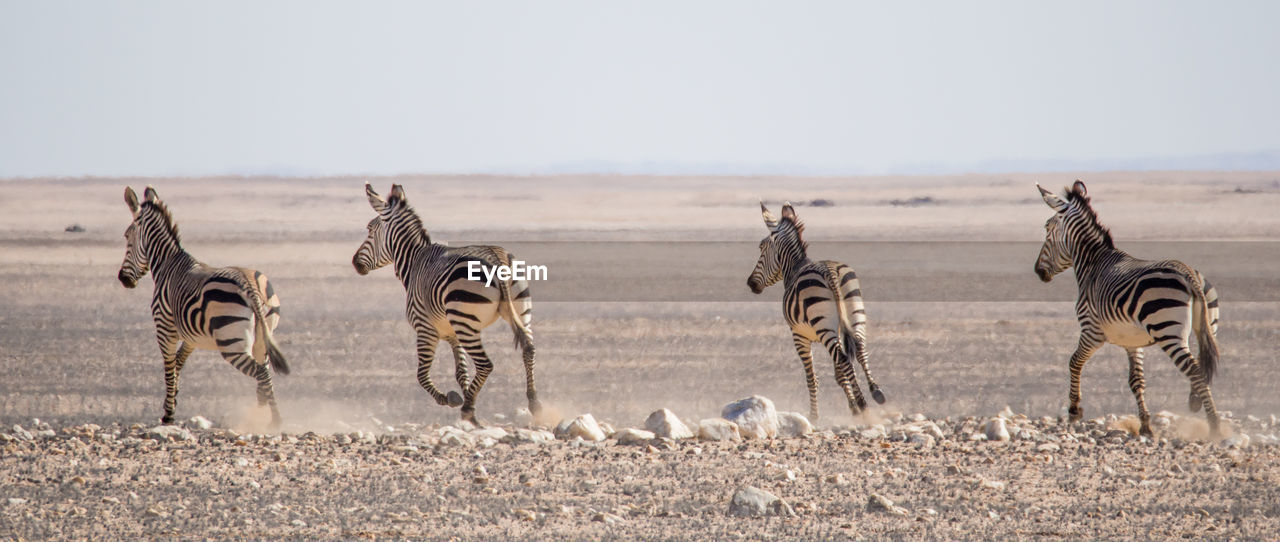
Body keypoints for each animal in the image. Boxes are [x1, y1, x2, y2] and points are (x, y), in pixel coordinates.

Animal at [117, 187, 290, 427]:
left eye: (127, 236)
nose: (123, 279)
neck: (167, 264)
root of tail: (249, 285)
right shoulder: (191, 338)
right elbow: (179, 364)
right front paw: (173, 400)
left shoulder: (164, 329)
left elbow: (169, 368)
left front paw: (168, 414)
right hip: (264, 336)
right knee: (264, 371)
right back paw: (260, 411)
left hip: (231, 343)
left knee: (261, 373)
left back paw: (274, 419)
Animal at [350, 184, 540, 425]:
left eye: (369, 230)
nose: (355, 263)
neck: (414, 261)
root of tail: (496, 258)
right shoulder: (452, 332)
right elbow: (461, 373)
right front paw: (470, 400)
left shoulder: (425, 328)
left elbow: (422, 375)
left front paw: (454, 399)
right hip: (519, 311)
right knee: (528, 349)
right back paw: (534, 403)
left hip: (466, 322)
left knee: (486, 364)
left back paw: (467, 409)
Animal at [747, 201, 885, 422]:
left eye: (762, 247)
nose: (750, 283)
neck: (795, 267)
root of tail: (829, 271)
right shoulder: (838, 332)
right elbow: (839, 374)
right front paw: (852, 407)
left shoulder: (799, 336)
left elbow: (812, 377)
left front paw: (814, 416)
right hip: (855, 314)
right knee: (860, 349)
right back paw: (876, 392)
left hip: (824, 327)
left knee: (844, 359)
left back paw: (864, 405)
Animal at [1029, 180, 1218, 438]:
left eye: (1048, 228)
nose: (1038, 271)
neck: (1093, 263)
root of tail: (1188, 273)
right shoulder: (1132, 341)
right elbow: (1136, 381)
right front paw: (1146, 425)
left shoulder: (1091, 331)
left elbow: (1074, 361)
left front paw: (1074, 411)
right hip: (1208, 327)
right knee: (1203, 367)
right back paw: (1197, 403)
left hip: (1169, 332)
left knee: (1196, 371)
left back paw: (1215, 426)